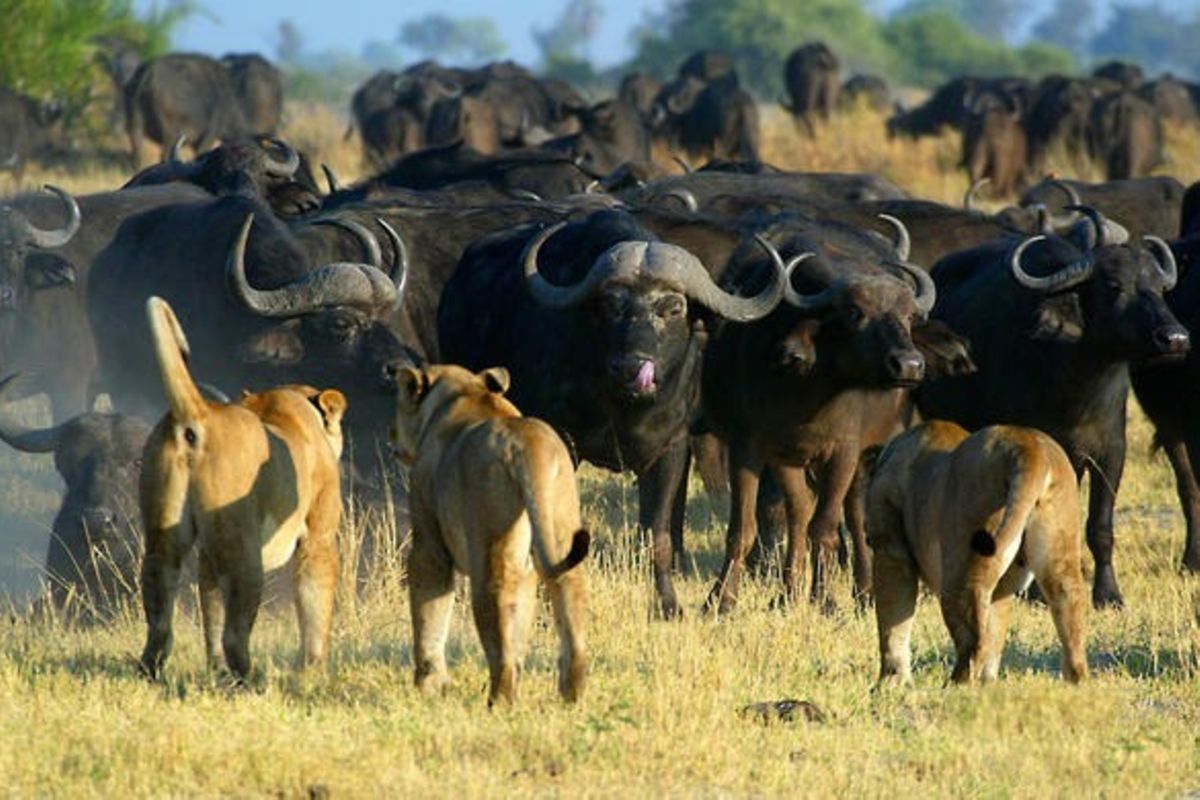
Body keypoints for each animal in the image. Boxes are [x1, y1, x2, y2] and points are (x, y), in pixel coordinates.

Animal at [138, 297, 346, 681]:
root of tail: (199, 415)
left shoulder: (207, 556)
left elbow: (210, 612)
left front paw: (215, 669)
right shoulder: (319, 536)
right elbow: (314, 608)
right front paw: (314, 671)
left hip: (164, 539)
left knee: (159, 621)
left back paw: (153, 672)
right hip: (245, 552)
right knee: (236, 634)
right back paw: (255, 679)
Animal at [391, 364, 589, 706]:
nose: (391, 434)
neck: (466, 391)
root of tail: (526, 442)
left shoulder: (430, 543)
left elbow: (428, 609)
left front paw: (428, 686)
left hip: (489, 542)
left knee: (497, 613)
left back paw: (499, 700)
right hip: (559, 522)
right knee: (566, 588)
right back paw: (571, 695)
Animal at [866, 420, 1088, 685]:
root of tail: (1029, 448)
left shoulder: (890, 550)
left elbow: (892, 623)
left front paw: (889, 684)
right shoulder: (1004, 586)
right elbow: (995, 628)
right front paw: (988, 684)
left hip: (963, 562)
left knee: (973, 638)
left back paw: (956, 686)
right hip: (1058, 549)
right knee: (1069, 603)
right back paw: (1075, 682)